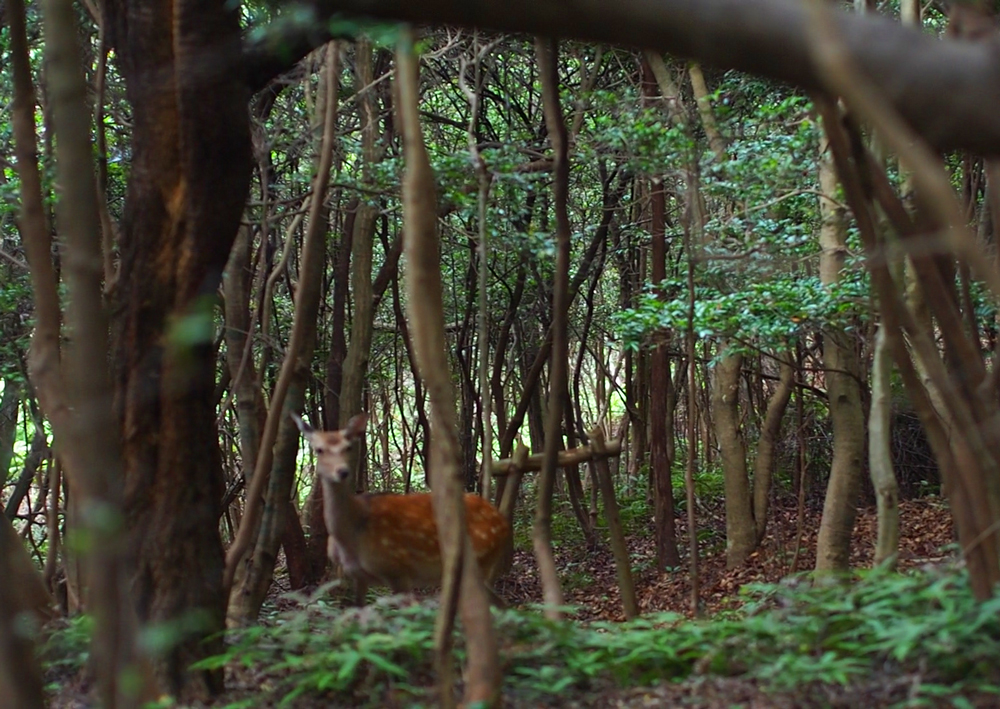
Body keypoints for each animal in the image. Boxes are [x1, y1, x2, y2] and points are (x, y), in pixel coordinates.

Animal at [292, 411, 511, 607]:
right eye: (319, 449)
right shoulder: (358, 576)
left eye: (348, 447)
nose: (342, 471)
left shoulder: (397, 569)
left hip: (480, 559)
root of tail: (503, 522)